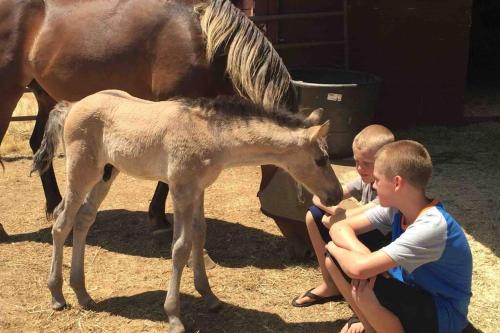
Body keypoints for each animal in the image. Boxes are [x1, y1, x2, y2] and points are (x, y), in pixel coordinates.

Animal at [0, 0, 296, 239]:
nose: (304, 254)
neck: (205, 40)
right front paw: (158, 218)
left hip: (45, 97)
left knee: (39, 145)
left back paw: (55, 206)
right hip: (9, 93)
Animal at [32, 89, 344, 332]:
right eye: (321, 159)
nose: (337, 194)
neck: (210, 135)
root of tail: (72, 105)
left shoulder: (199, 189)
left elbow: (199, 233)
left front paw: (209, 296)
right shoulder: (181, 189)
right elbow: (181, 246)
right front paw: (174, 316)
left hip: (108, 173)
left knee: (84, 218)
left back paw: (82, 293)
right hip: (82, 171)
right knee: (62, 222)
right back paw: (57, 295)